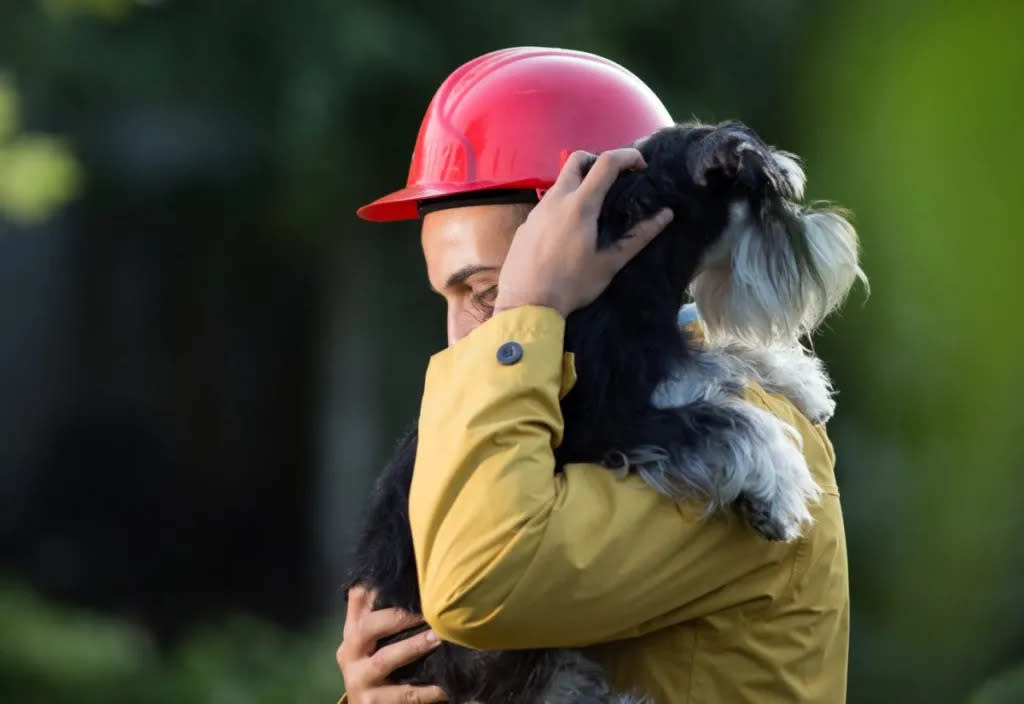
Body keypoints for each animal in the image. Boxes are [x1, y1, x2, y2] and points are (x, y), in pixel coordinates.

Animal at [344, 122, 864, 704]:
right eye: (772, 195)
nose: (837, 239)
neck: (628, 270)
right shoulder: (607, 420)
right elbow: (731, 420)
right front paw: (779, 490)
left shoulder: (661, 358)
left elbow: (720, 358)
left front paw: (802, 384)